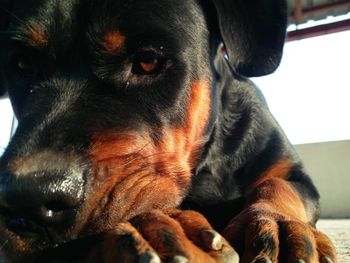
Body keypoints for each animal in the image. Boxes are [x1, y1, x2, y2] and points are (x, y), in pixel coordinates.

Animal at [0, 0, 336, 262]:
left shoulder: (294, 174)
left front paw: (277, 224)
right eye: (22, 64)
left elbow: (277, 185)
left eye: (148, 60)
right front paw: (156, 229)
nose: (26, 200)